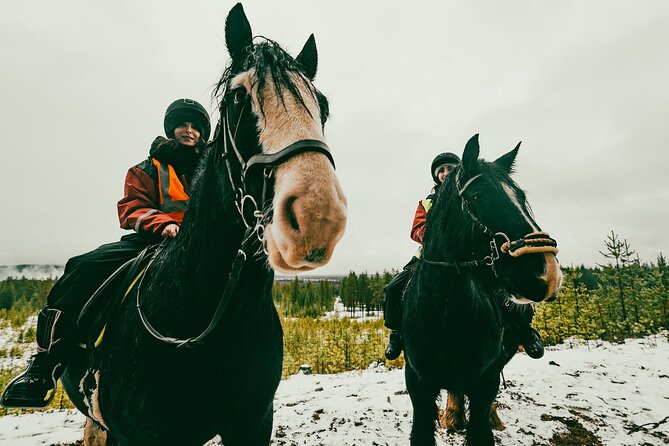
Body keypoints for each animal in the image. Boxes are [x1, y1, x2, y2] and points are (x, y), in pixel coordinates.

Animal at [402, 133, 564, 446]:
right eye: (479, 197)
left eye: (522, 197)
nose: (548, 273)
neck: (446, 312)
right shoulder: (418, 381)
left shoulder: (485, 378)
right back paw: (453, 414)